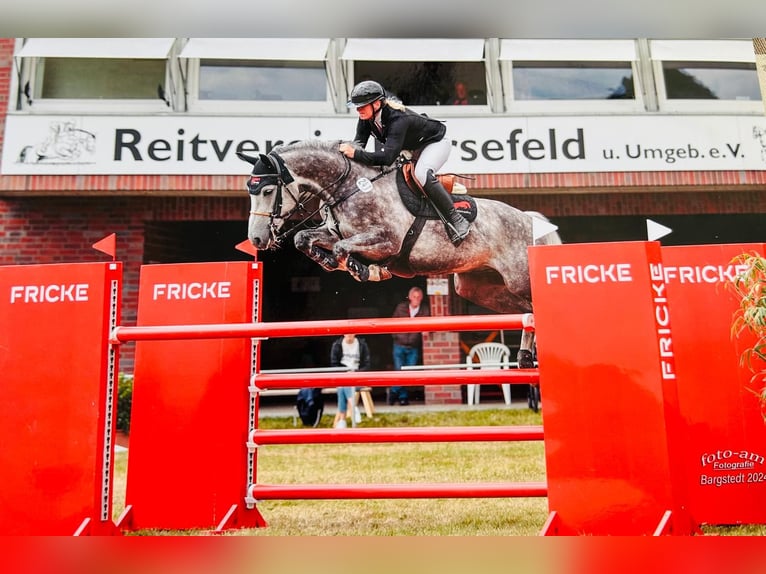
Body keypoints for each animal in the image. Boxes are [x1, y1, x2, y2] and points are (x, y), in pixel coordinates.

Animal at [237, 140, 560, 366]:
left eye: (267, 191)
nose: (257, 238)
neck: (350, 188)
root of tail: (530, 220)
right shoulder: (334, 232)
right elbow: (304, 238)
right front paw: (332, 261)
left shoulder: (387, 241)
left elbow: (344, 249)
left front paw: (363, 268)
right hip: (477, 288)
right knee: (526, 311)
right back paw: (525, 357)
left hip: (519, 279)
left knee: (533, 304)